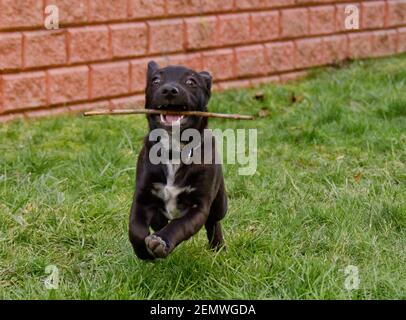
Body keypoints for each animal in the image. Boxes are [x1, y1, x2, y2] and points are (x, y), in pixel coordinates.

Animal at [128, 60, 227, 260]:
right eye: (155, 80)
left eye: (191, 82)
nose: (169, 90)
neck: (173, 150)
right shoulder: (142, 197)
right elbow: (135, 228)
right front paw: (143, 252)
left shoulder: (199, 205)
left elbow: (179, 225)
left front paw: (161, 241)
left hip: (220, 204)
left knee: (214, 222)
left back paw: (218, 247)